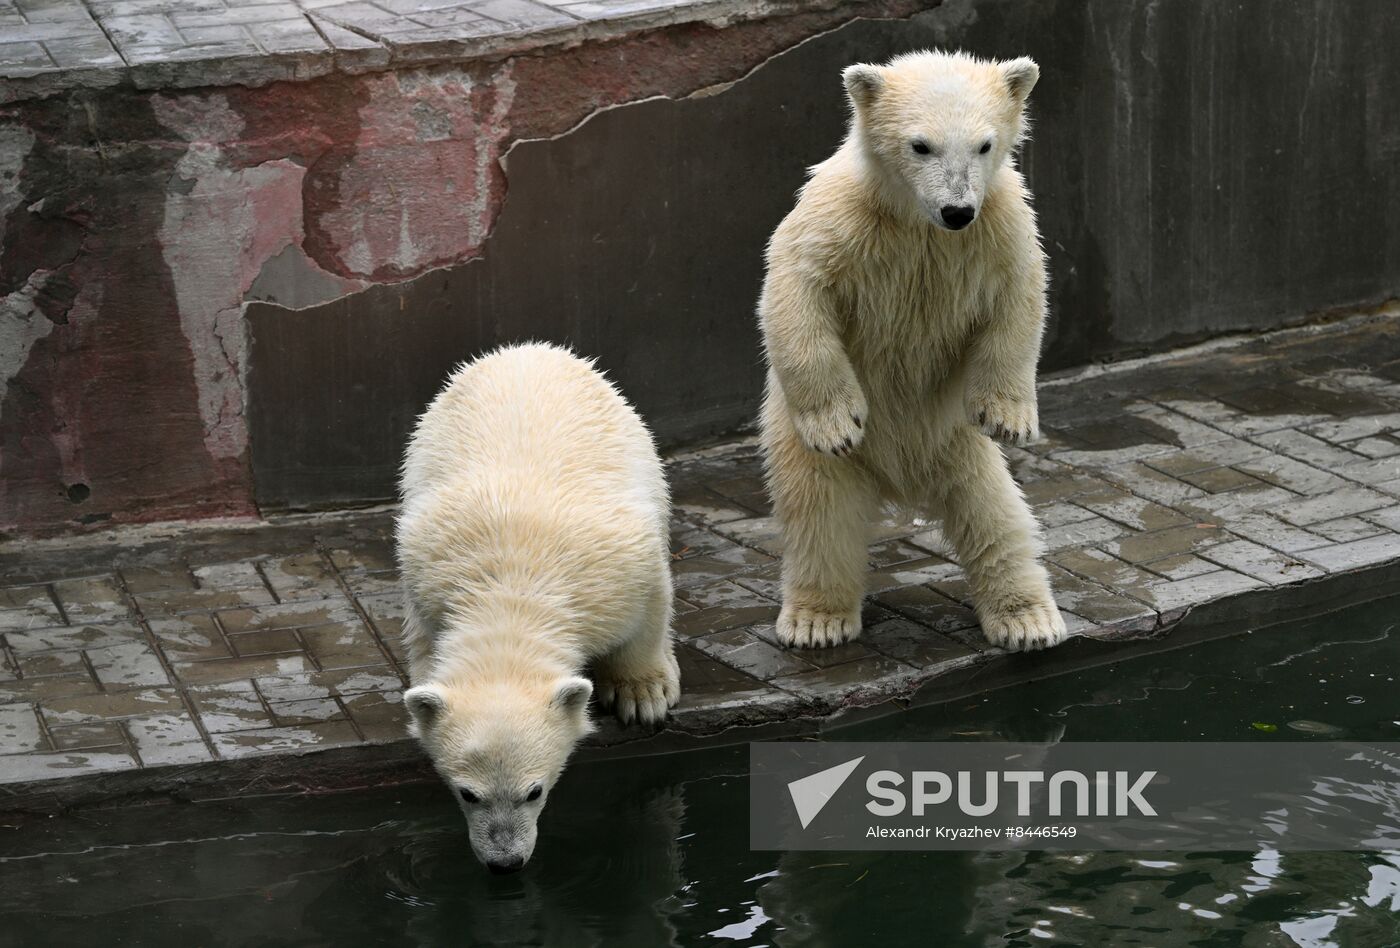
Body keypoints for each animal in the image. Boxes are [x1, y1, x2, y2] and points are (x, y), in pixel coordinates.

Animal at [397, 341, 680, 873]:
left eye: (535, 791)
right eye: (467, 794)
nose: (505, 863)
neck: (514, 589)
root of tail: (525, 350)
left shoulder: (622, 570)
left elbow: (649, 611)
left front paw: (642, 694)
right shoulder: (426, 573)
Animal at [761, 50, 1064, 649]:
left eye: (984, 145)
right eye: (921, 145)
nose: (957, 210)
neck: (919, 224)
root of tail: (901, 483)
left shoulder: (998, 225)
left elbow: (1020, 297)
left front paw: (1010, 418)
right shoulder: (840, 219)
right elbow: (796, 288)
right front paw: (837, 422)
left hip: (957, 443)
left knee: (997, 516)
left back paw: (1027, 620)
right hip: (806, 449)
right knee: (821, 518)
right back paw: (816, 620)